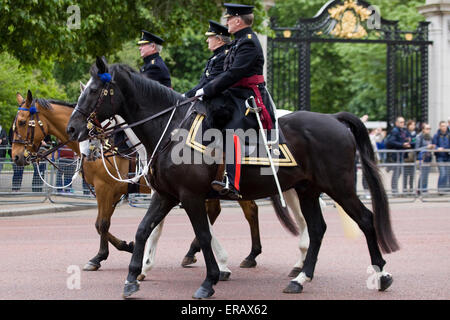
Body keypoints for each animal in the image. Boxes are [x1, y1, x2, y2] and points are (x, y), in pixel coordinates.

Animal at [10, 90, 282, 280]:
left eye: (22, 122)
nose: (15, 157)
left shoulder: (107, 190)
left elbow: (101, 224)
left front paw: (108, 254)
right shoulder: (114, 192)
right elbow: (104, 224)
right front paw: (125, 250)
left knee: (248, 211)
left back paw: (246, 255)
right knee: (221, 212)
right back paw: (205, 253)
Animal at [66, 58, 398, 300]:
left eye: (93, 91)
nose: (73, 130)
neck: (170, 130)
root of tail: (334, 119)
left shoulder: (189, 196)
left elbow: (201, 233)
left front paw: (209, 280)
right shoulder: (166, 195)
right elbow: (144, 229)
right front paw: (133, 276)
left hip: (339, 187)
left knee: (365, 220)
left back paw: (380, 275)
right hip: (307, 189)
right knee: (317, 229)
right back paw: (301, 277)